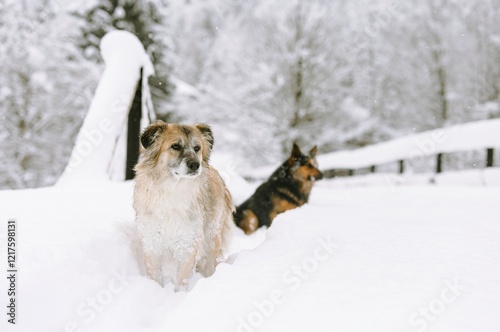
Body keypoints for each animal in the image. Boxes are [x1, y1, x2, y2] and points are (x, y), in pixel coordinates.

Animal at [133, 120, 234, 286]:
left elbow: (181, 281)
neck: (173, 189)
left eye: (197, 148)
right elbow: (155, 277)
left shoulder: (188, 245)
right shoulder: (152, 244)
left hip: (211, 237)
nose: (195, 165)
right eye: (176, 146)